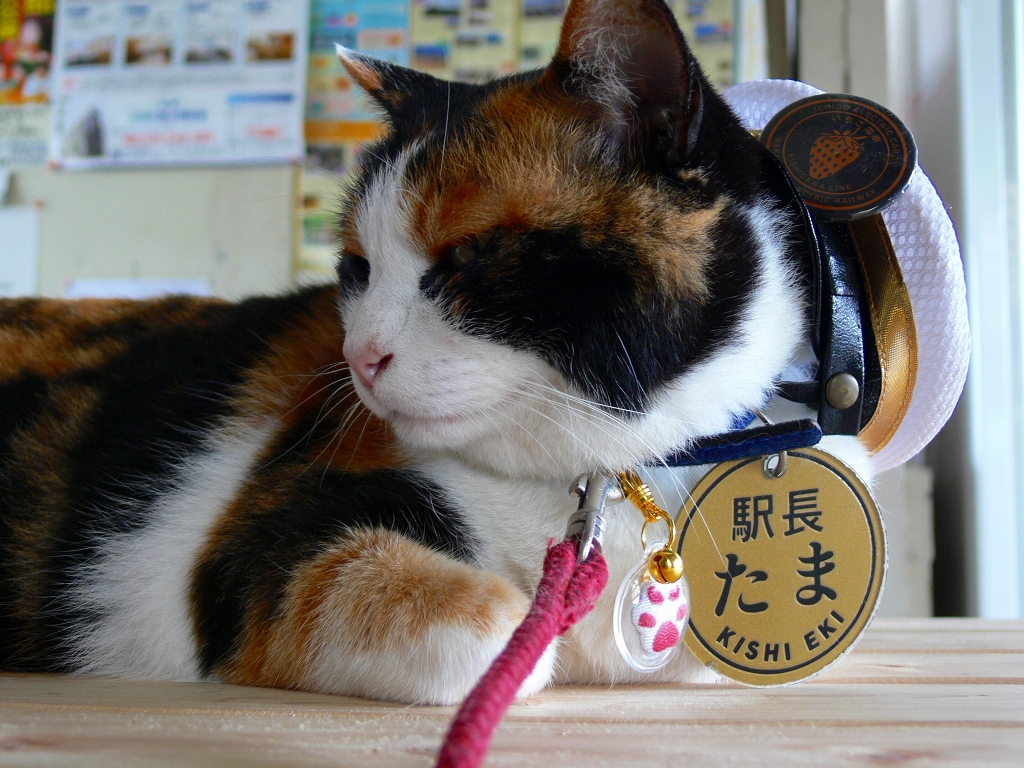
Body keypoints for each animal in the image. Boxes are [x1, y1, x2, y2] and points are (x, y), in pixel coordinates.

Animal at [0, 0, 864, 708]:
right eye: (357, 266)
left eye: (468, 256)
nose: (359, 356)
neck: (608, 479)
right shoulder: (258, 540)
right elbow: (485, 627)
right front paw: (519, 629)